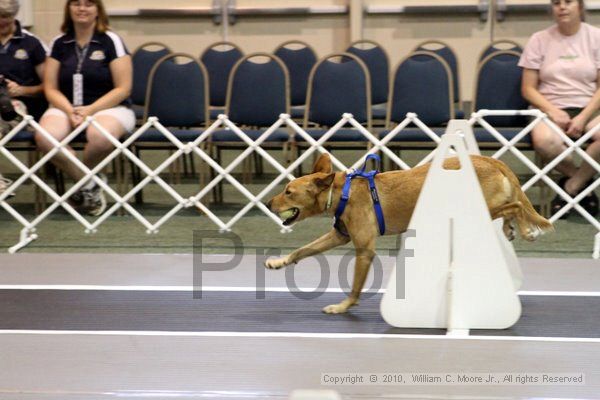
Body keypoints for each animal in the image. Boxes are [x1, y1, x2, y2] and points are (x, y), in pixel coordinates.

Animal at [266, 152, 552, 312]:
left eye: (288, 192)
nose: (268, 203)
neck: (344, 193)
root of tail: (491, 160)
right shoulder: (340, 235)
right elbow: (302, 250)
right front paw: (279, 262)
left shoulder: (364, 249)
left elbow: (355, 287)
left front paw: (344, 306)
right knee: (511, 207)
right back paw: (511, 228)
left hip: (477, 206)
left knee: (516, 206)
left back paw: (525, 230)